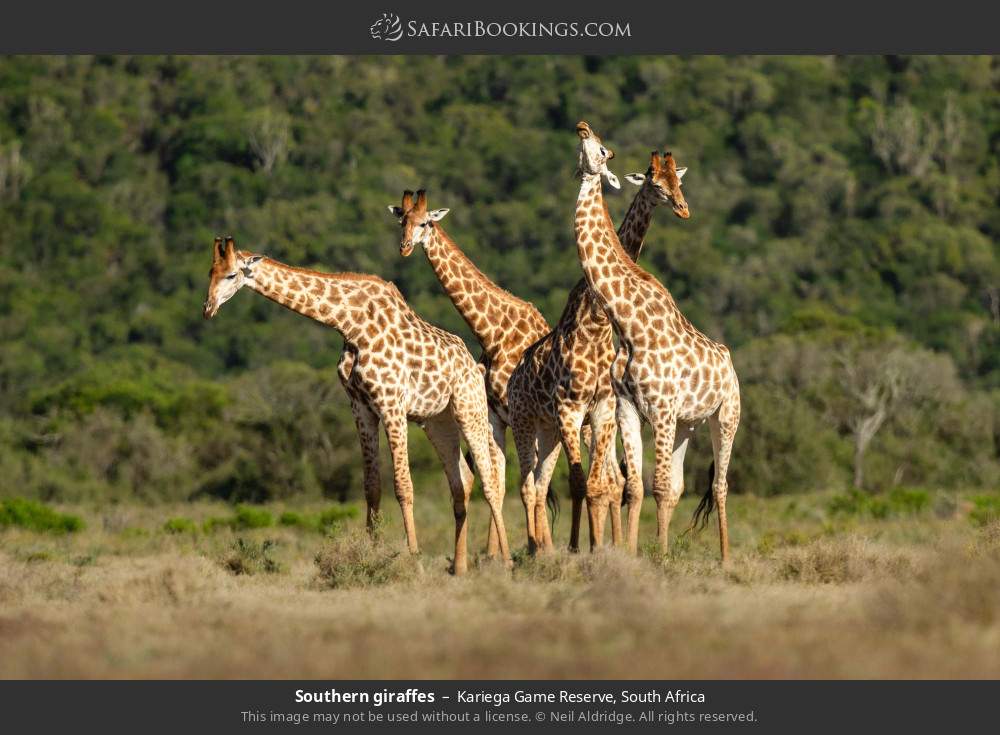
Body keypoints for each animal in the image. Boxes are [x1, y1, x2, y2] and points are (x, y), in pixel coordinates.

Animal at [202, 236, 512, 574]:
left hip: (470, 409)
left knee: (491, 478)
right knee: (462, 480)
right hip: (437, 420)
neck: (350, 323)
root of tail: (475, 366)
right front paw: (372, 556)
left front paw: (414, 561)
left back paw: (507, 561)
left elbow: (403, 485)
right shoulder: (360, 407)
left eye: (232, 275)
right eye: (210, 272)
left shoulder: (391, 403)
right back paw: (460, 567)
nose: (208, 308)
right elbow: (371, 487)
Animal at [389, 189, 554, 552]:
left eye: (426, 223)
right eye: (401, 221)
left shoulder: (519, 414)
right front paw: (495, 555)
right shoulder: (494, 416)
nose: (404, 247)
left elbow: (525, 483)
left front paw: (534, 548)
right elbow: (499, 481)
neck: (492, 332)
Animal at [507, 150, 690, 551]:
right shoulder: (577, 411)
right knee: (530, 485)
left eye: (679, 182)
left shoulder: (601, 411)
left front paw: (606, 545)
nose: (683, 209)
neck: (595, 317)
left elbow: (606, 484)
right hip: (526, 421)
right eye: (655, 184)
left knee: (548, 484)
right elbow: (587, 484)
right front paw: (584, 547)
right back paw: (538, 547)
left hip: (551, 428)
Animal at [572, 122, 740, 562]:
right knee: (681, 484)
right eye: (653, 181)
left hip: (725, 416)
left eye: (604, 151)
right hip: (686, 424)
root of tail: (728, 360)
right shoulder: (630, 408)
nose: (582, 127)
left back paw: (725, 558)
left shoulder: (662, 409)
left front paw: (661, 557)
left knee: (719, 485)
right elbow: (635, 487)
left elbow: (659, 486)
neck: (629, 325)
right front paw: (631, 554)